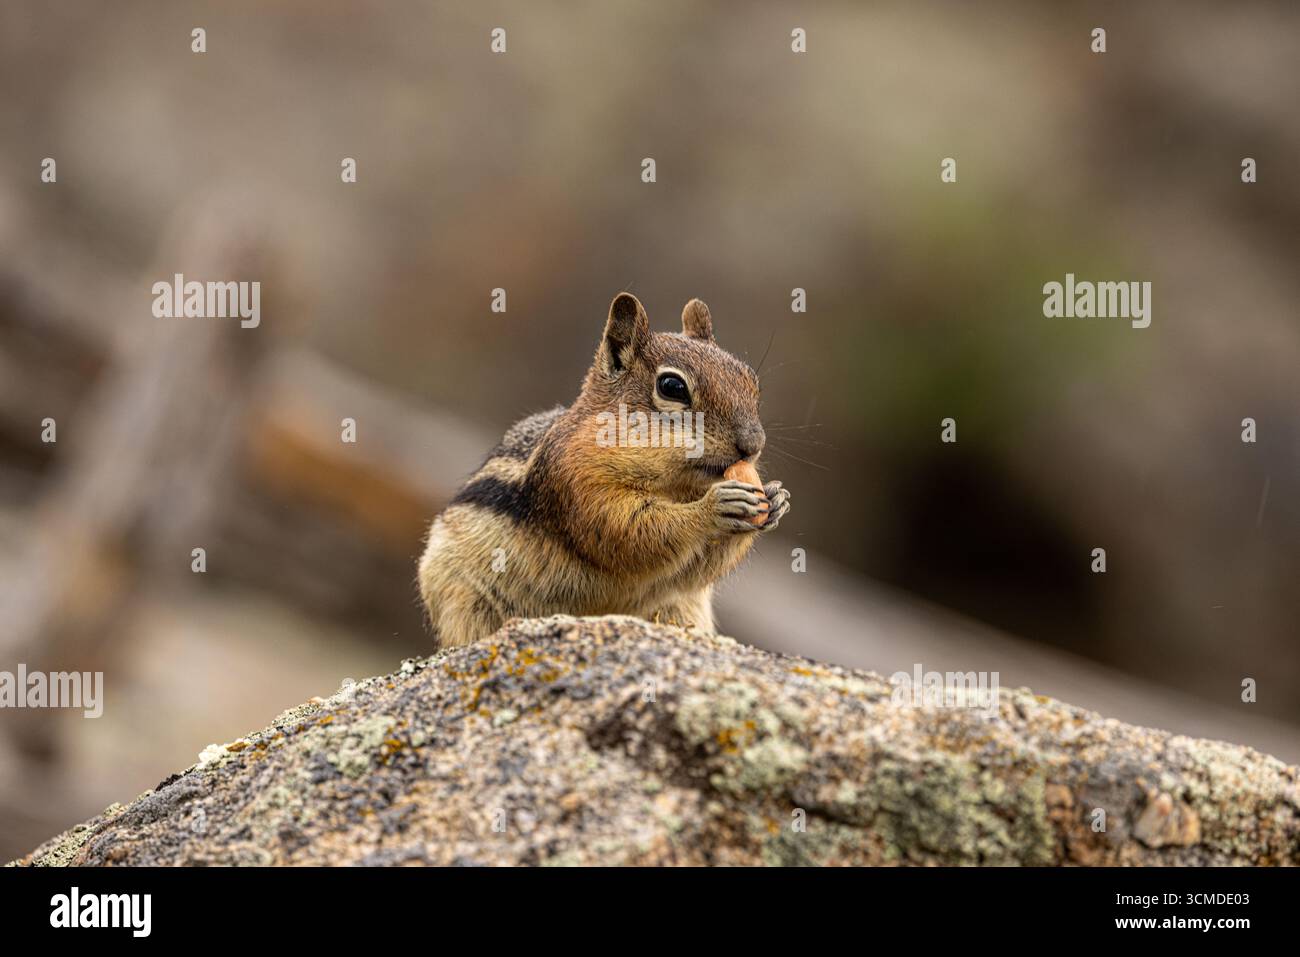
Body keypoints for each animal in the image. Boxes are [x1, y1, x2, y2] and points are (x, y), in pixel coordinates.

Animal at [417, 292, 790, 648]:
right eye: (672, 387)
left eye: (751, 380)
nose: (753, 444)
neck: (676, 485)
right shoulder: (578, 481)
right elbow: (627, 531)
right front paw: (713, 508)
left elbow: (698, 569)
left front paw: (777, 499)